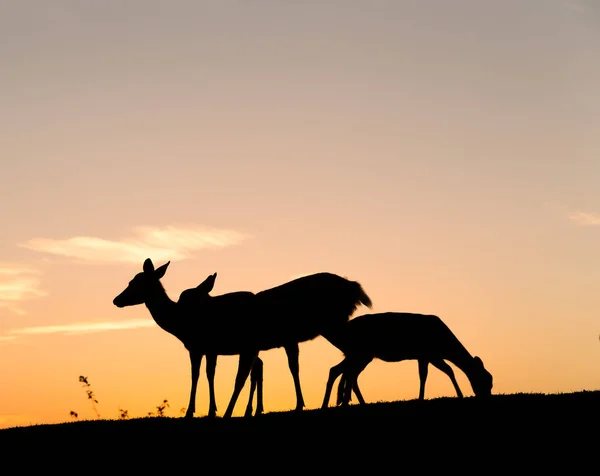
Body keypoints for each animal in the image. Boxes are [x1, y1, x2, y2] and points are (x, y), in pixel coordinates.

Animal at [112, 258, 370, 418]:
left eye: (134, 282)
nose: (116, 299)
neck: (179, 323)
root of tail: (356, 288)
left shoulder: (200, 346)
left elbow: (204, 376)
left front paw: (200, 411)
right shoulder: (212, 348)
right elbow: (210, 375)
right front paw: (211, 410)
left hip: (332, 323)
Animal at [322, 310, 494, 408]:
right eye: (486, 380)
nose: (487, 396)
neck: (444, 345)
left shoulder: (425, 356)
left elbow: (427, 374)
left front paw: (422, 397)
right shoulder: (430, 354)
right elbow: (446, 370)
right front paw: (460, 394)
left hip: (361, 355)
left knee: (343, 372)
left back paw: (352, 402)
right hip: (360, 354)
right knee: (345, 373)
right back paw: (333, 403)